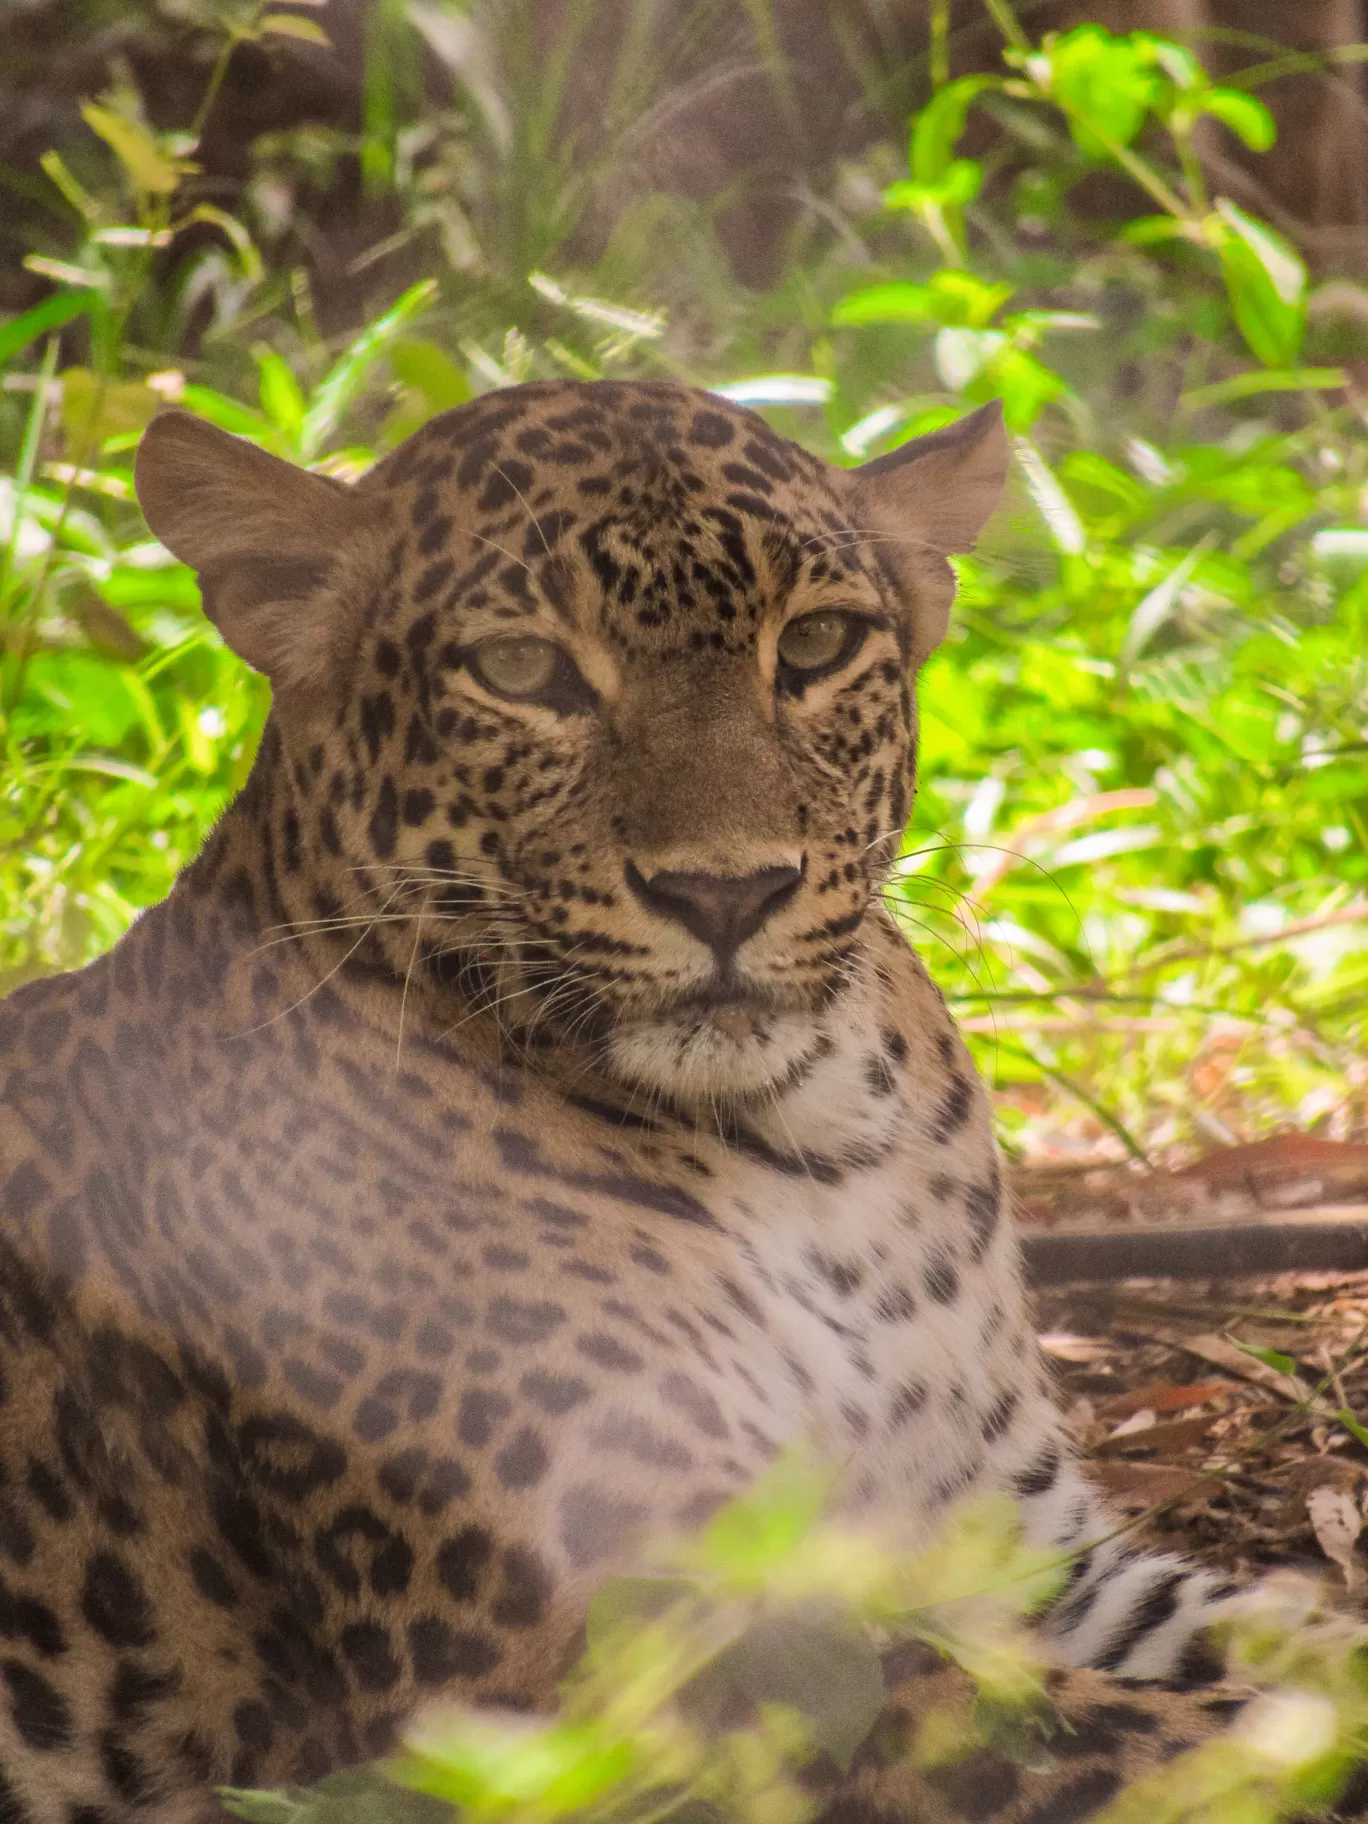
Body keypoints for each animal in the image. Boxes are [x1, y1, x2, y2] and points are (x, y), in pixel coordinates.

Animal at [0, 377, 1313, 1816]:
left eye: (818, 645)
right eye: (522, 672)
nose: (727, 891)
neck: (817, 1155)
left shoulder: (1028, 1558)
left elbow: (1293, 1651)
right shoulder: (636, 1656)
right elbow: (1150, 1739)